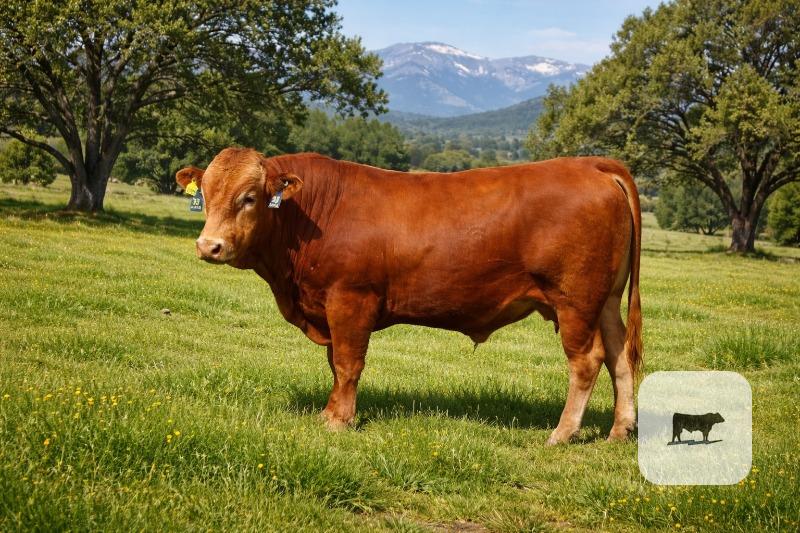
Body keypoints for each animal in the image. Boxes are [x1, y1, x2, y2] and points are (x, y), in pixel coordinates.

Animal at [175, 148, 643, 444]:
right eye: (206, 196)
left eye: (249, 197)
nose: (209, 246)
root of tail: (591, 165)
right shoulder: (328, 306)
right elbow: (334, 364)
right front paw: (329, 412)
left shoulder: (350, 299)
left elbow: (347, 363)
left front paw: (340, 421)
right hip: (606, 300)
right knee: (619, 355)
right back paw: (620, 429)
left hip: (575, 300)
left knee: (587, 360)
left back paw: (563, 433)